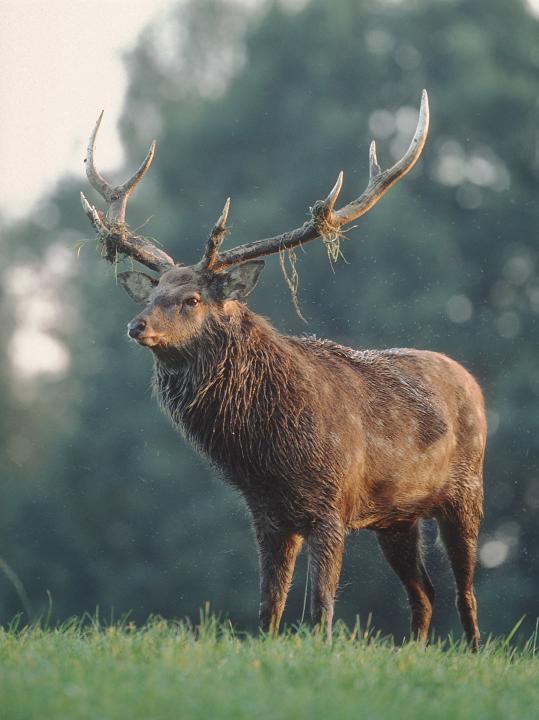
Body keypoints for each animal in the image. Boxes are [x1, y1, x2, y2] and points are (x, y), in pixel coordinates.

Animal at [81, 93, 490, 648]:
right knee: (423, 592)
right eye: (154, 292)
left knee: (464, 592)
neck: (269, 452)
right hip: (397, 517)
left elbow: (321, 608)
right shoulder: (268, 514)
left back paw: (472, 651)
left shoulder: (331, 504)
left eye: (191, 299)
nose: (136, 325)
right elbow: (268, 608)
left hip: (467, 490)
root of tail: (473, 383)